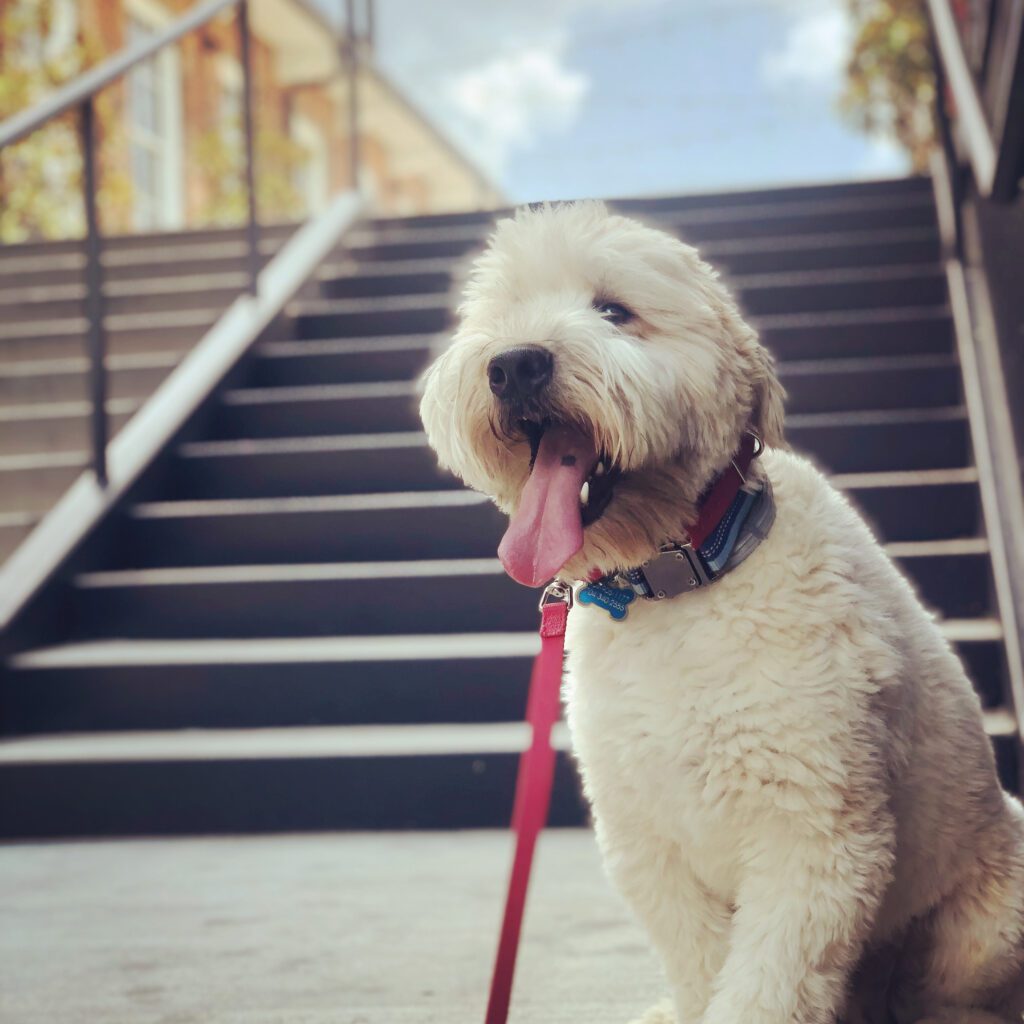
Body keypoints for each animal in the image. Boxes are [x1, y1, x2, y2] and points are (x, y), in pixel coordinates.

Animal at [417, 201, 1024, 1024]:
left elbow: (765, 987)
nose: (513, 364)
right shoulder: (650, 845)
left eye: (615, 311)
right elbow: (700, 967)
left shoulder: (815, 837)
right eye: (505, 312)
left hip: (980, 923)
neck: (680, 582)